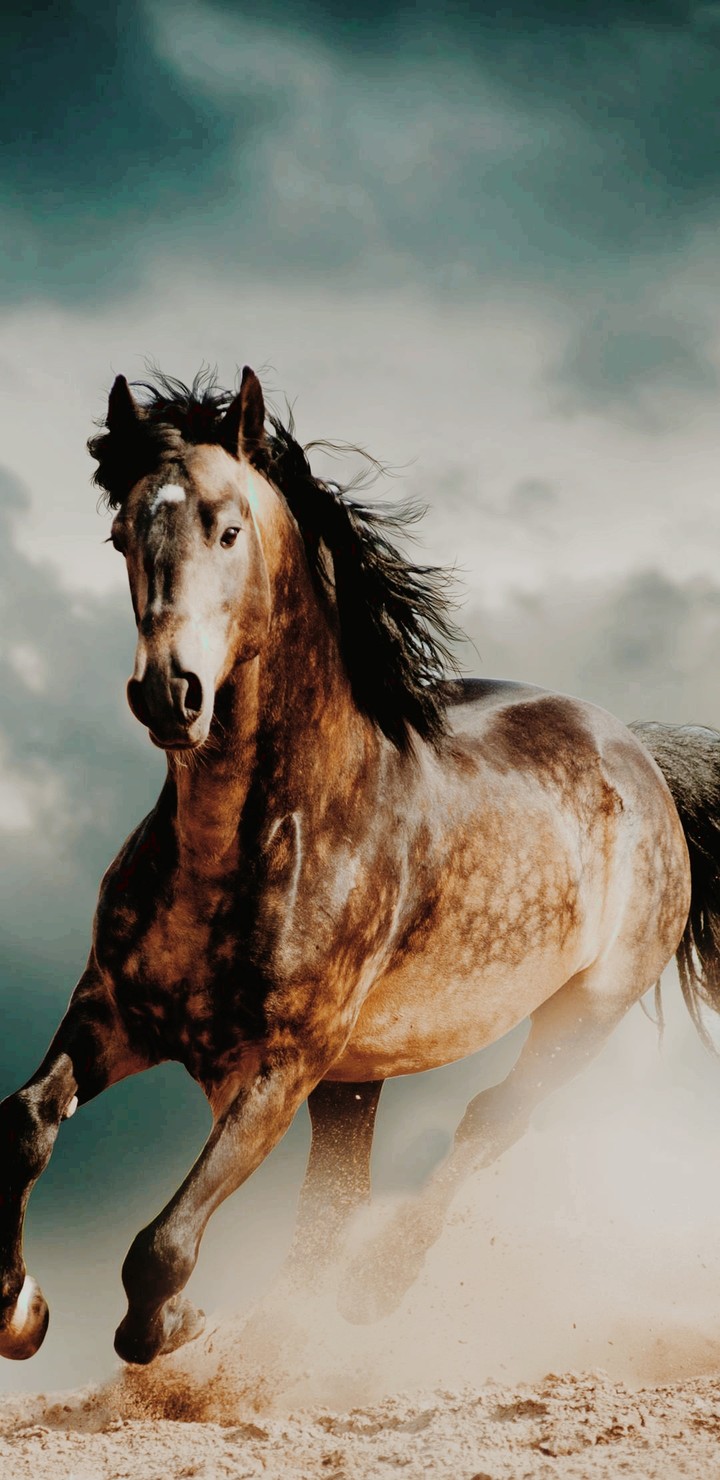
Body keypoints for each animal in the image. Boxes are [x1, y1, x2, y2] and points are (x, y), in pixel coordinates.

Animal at [1, 365, 719, 1367]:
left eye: (229, 529)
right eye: (121, 534)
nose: (169, 694)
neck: (249, 842)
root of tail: (643, 757)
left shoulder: (282, 1064)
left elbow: (162, 1245)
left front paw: (174, 1325)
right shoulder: (115, 1013)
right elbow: (26, 1122)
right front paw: (19, 1312)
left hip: (583, 1014)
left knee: (488, 1121)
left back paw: (373, 1292)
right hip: (356, 1081)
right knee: (332, 1206)